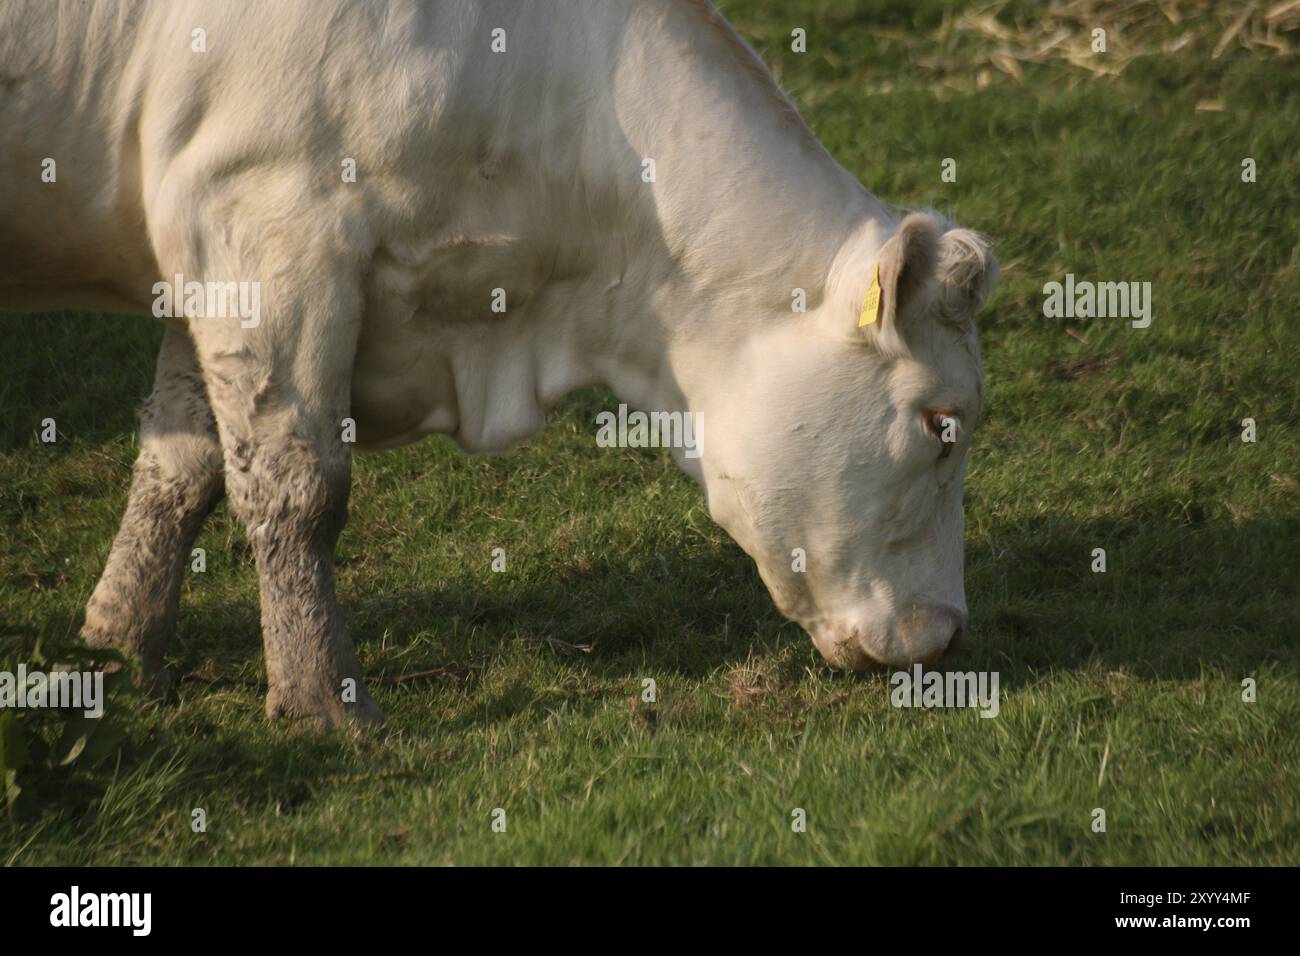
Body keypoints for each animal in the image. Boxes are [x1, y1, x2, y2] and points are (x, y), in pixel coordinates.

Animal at [0, 0, 997, 728]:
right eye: (940, 423)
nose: (949, 634)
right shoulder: (264, 225)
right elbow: (295, 488)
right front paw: (324, 702)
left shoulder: (204, 256)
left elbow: (184, 463)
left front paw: (120, 643)